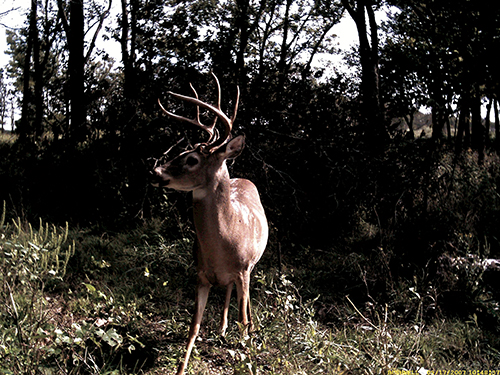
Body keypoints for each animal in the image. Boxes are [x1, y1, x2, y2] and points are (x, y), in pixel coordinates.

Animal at [151, 74, 270, 375]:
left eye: (192, 159)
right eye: (181, 151)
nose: (155, 172)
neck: (226, 240)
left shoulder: (243, 269)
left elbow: (243, 321)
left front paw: (246, 356)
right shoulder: (201, 274)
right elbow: (193, 326)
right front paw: (180, 369)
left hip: (253, 265)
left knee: (246, 301)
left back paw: (250, 327)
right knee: (227, 292)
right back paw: (222, 327)